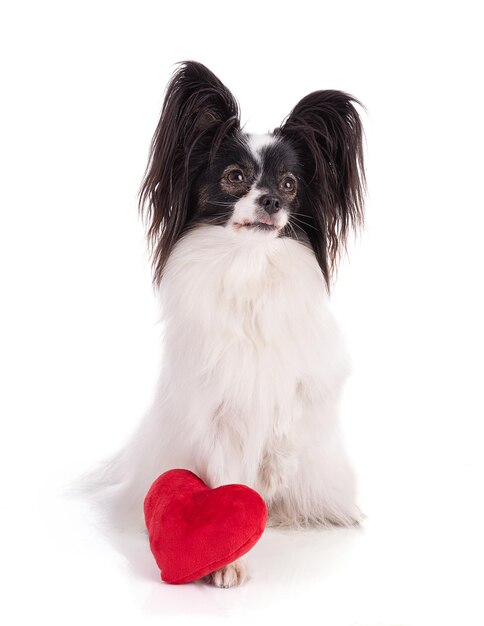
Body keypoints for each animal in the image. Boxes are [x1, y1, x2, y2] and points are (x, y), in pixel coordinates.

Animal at [81, 59, 364, 584]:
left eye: (290, 184)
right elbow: (231, 477)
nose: (272, 201)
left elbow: (289, 418)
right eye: (235, 176)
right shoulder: (218, 411)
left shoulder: (314, 378)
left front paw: (272, 474)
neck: (248, 267)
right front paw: (228, 563)